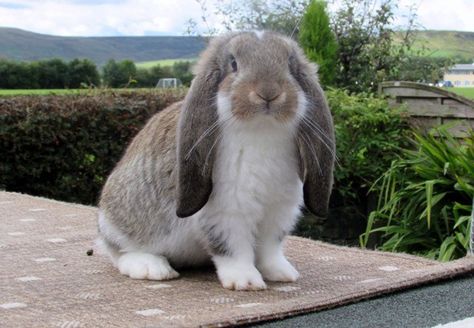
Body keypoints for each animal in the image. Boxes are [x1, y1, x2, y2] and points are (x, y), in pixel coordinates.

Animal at [96, 30, 336, 290]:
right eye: (233, 64)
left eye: (290, 64)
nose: (268, 93)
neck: (262, 131)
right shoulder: (227, 213)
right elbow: (233, 249)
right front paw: (246, 281)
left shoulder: (278, 212)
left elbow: (270, 248)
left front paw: (282, 273)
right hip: (120, 228)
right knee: (119, 252)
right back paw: (153, 269)